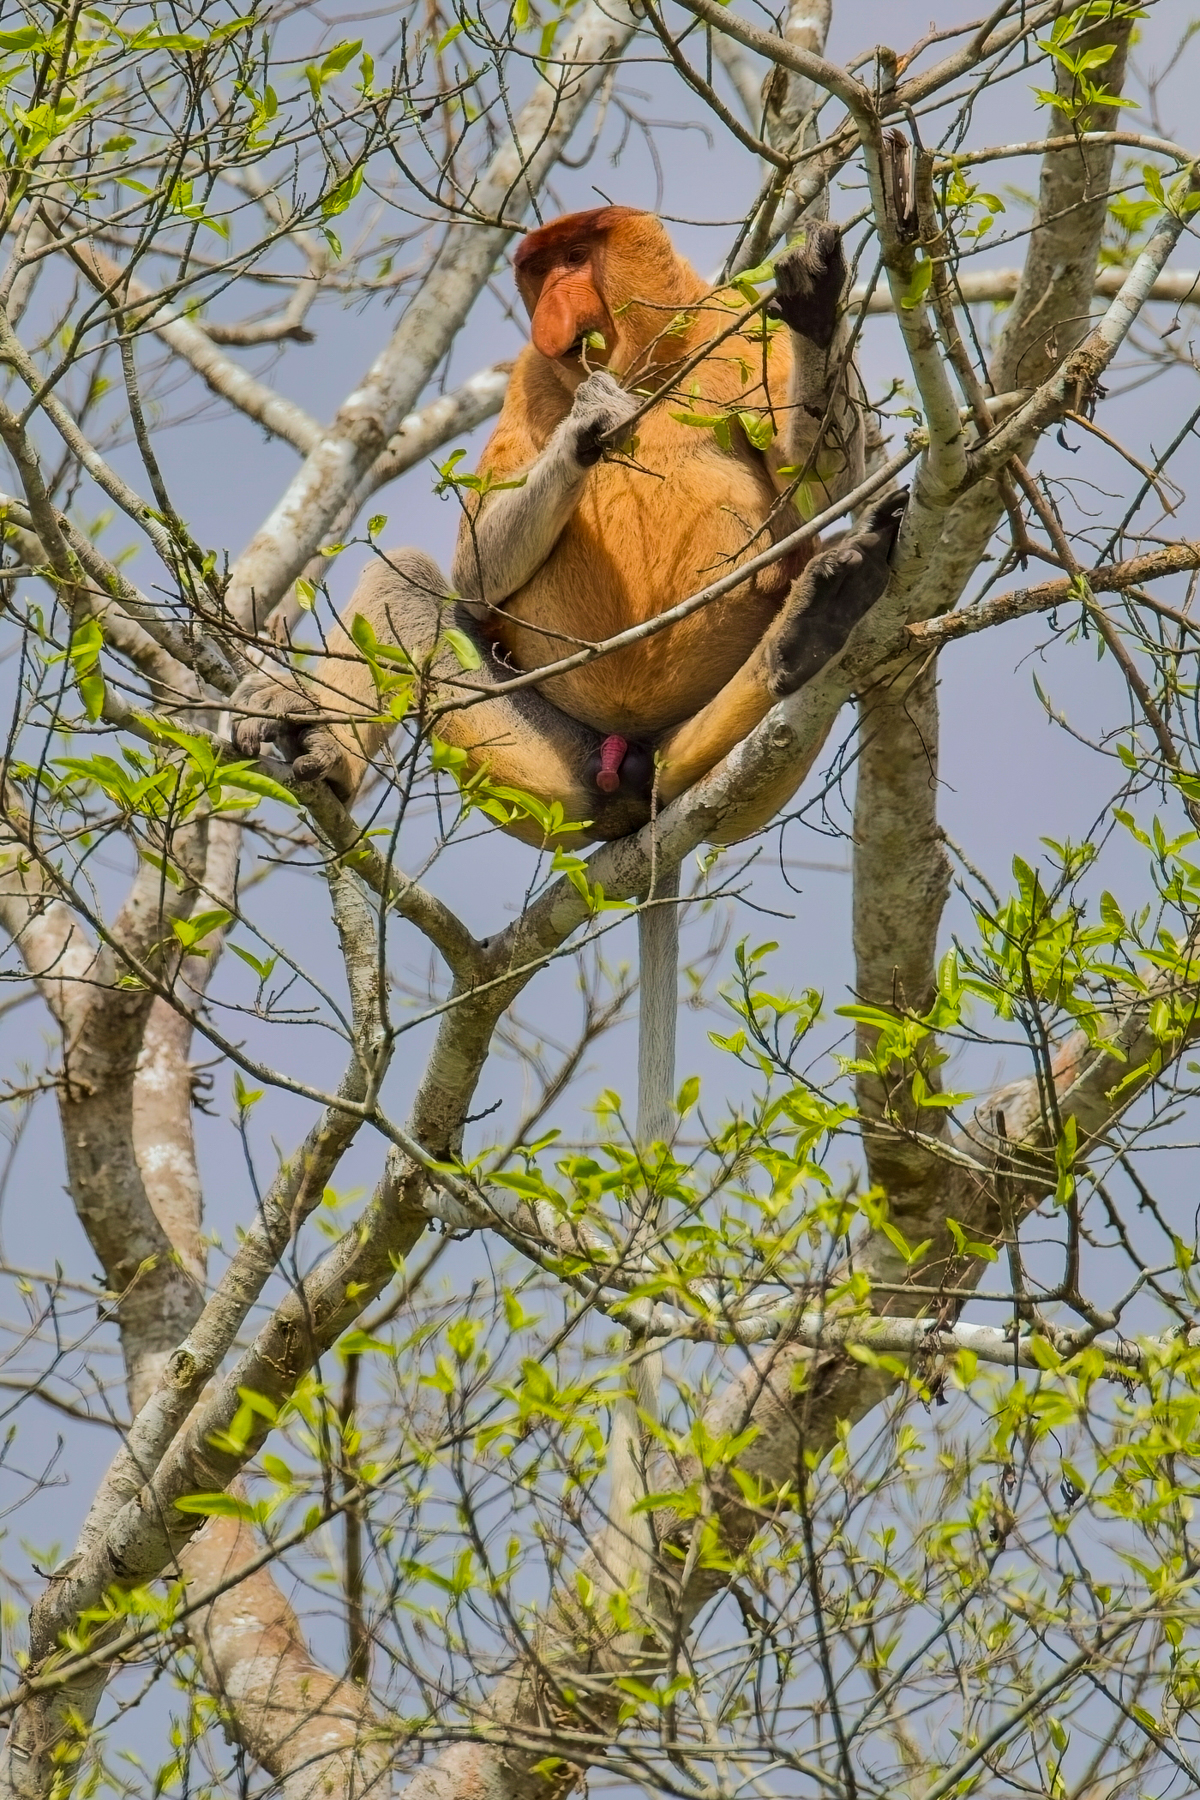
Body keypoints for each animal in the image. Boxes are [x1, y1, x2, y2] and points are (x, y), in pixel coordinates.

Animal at [228, 207, 905, 853]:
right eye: (542, 268)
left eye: (577, 256)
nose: (554, 296)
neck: (649, 366)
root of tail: (625, 770)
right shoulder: (529, 373)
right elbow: (474, 571)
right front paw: (589, 422)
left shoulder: (745, 331)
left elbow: (825, 486)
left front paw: (816, 299)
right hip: (541, 771)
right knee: (408, 580)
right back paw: (317, 745)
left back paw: (814, 620)